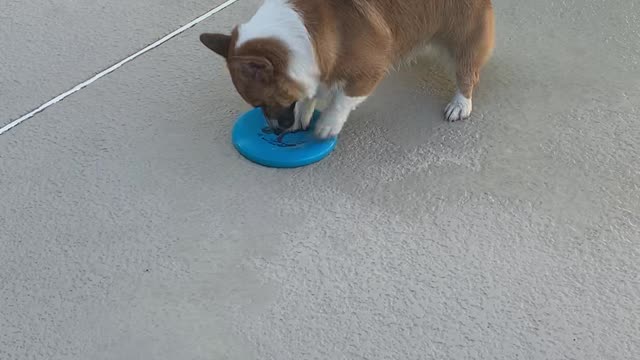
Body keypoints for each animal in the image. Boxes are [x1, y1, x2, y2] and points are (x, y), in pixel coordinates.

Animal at [200, 0, 496, 138]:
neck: (301, 34)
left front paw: (328, 124)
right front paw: (304, 114)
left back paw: (460, 104)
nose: (274, 133)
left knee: (468, 72)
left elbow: (342, 100)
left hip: (465, 38)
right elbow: (309, 94)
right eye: (256, 106)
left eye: (262, 102)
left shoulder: (369, 70)